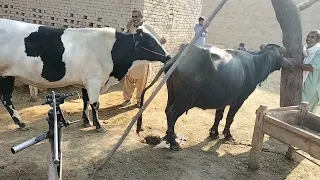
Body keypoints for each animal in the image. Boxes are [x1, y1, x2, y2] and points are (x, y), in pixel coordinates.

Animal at [0, 18, 170, 131]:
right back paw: (21, 123)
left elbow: (86, 101)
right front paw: (98, 125)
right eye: (151, 43)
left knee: (6, 99)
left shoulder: (85, 82)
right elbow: (95, 103)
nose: (168, 56)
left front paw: (86, 121)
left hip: (7, 75)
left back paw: (21, 123)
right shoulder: (94, 81)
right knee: (7, 99)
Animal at [136, 43, 294, 150]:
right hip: (185, 98)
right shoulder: (239, 99)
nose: (290, 64)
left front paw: (213, 132)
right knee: (172, 112)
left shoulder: (223, 99)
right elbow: (230, 117)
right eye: (281, 55)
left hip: (172, 92)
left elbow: (219, 116)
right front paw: (227, 135)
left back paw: (170, 136)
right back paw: (174, 142)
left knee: (167, 109)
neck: (255, 65)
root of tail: (177, 59)